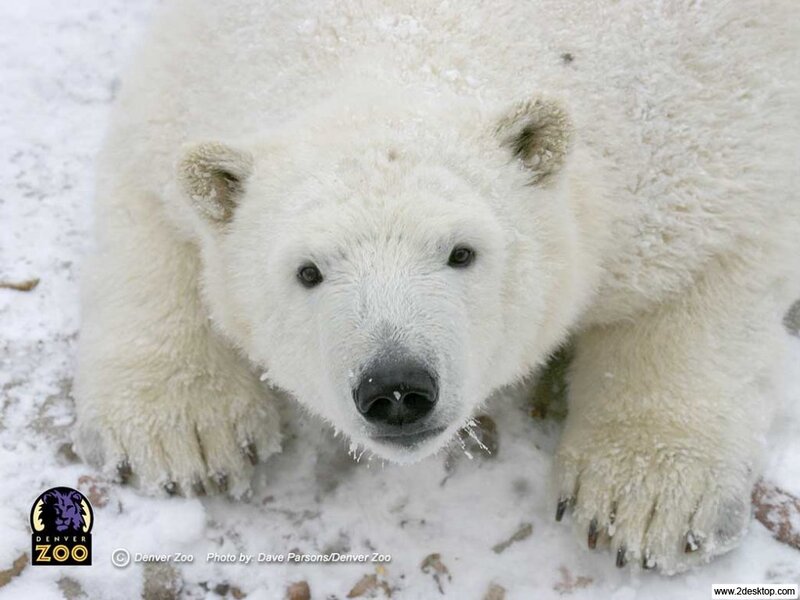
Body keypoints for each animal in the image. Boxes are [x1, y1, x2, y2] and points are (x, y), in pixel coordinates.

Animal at [73, 0, 800, 574]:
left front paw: (646, 500)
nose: (396, 390)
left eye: (461, 252)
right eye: (308, 271)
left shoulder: (694, 121)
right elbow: (148, 208)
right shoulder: (191, 73)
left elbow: (705, 270)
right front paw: (183, 435)